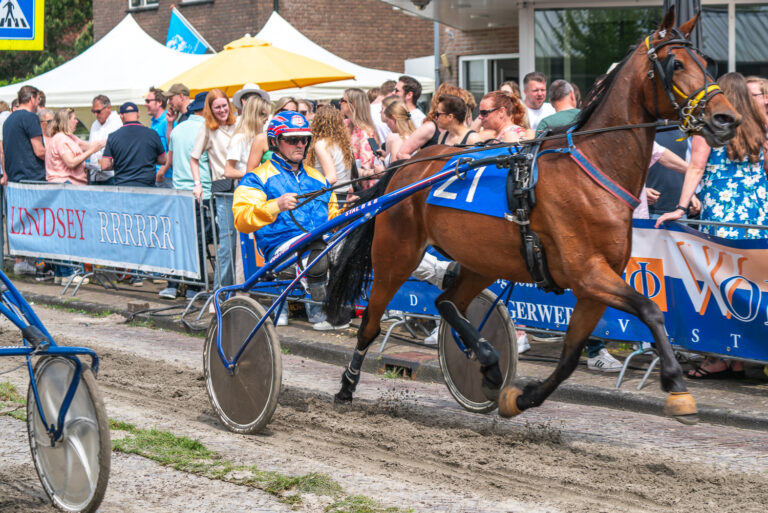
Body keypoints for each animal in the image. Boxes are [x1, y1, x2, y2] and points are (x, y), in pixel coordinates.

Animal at [328, 10, 740, 422]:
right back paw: (347, 385)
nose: (728, 119)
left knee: (446, 301)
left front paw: (519, 397)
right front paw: (676, 384)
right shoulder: (588, 273)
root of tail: (406, 165)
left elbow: (570, 357)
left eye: (706, 63)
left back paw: (489, 361)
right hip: (396, 255)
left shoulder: (593, 285)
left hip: (482, 259)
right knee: (371, 322)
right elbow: (651, 310)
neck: (593, 167)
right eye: (677, 63)